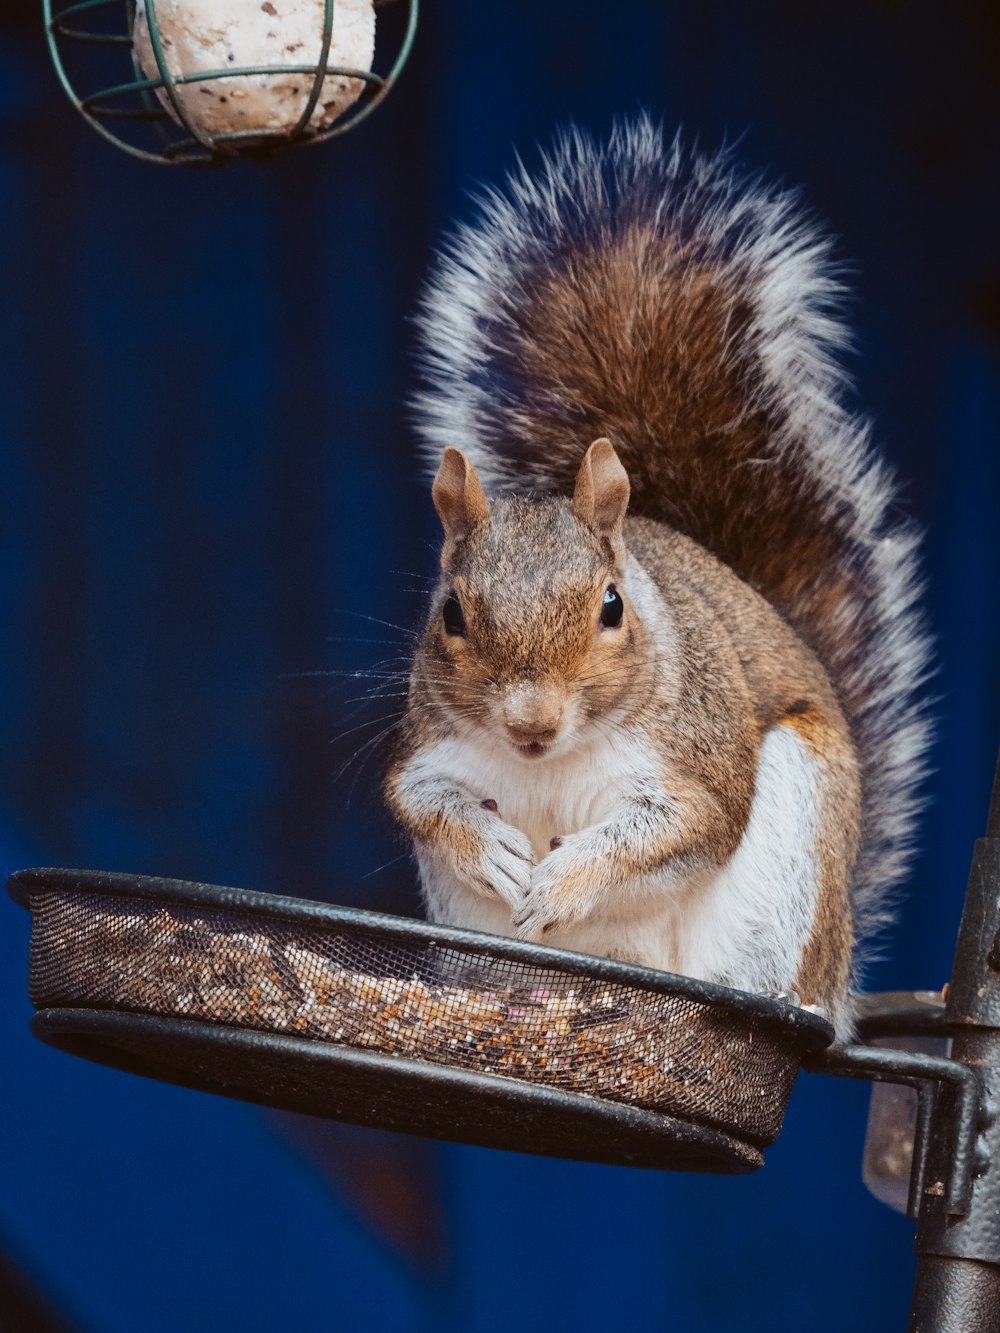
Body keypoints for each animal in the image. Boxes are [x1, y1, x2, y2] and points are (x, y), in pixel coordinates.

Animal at [386, 117, 933, 1039]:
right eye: (451, 615)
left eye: (612, 606)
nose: (531, 724)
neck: (554, 760)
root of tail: (838, 970)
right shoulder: (429, 744)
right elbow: (417, 798)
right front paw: (487, 844)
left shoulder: (696, 760)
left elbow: (674, 830)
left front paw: (565, 878)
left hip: (791, 858)